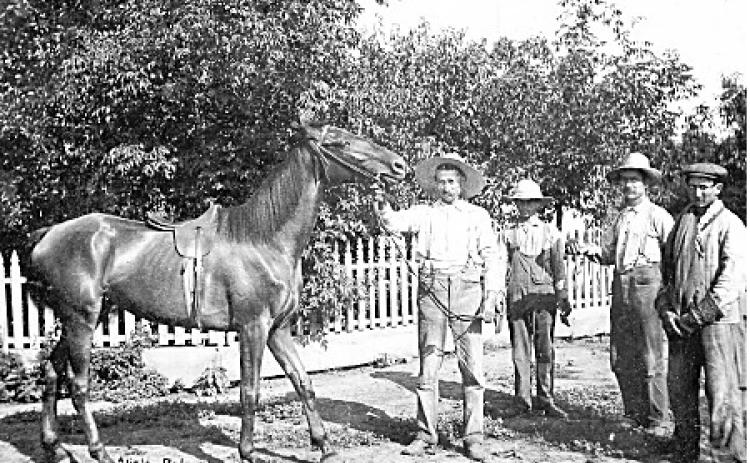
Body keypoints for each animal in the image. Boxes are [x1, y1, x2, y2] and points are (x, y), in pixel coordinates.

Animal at [29, 123, 408, 463]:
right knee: (78, 385)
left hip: (79, 319)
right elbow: (250, 390)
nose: (399, 166)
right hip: (82, 319)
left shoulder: (278, 330)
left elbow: (303, 382)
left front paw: (324, 446)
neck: (263, 239)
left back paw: (54, 447)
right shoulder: (253, 328)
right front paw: (248, 452)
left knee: (51, 373)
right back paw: (99, 451)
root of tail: (48, 235)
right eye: (342, 142)